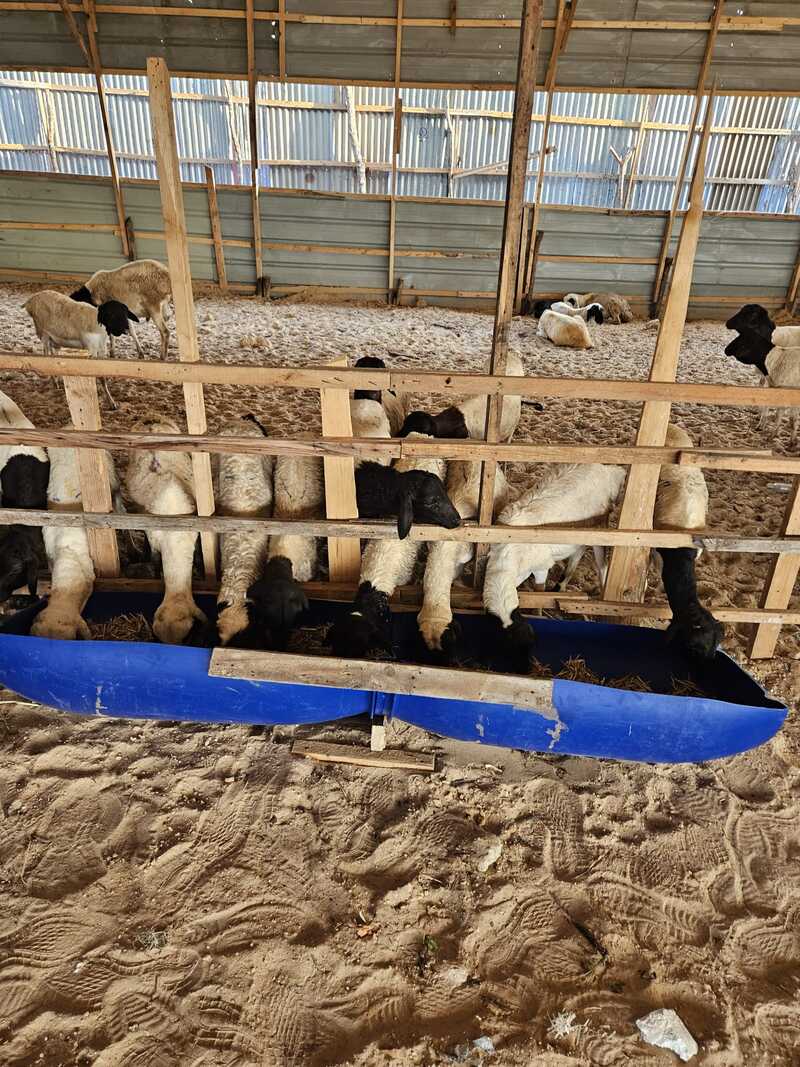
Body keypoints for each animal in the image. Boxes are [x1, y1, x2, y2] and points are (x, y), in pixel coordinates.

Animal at [483, 464, 626, 670]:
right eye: (506, 648)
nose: (526, 669)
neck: (506, 559)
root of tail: (609, 470)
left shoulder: (541, 568)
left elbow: (538, 595)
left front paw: (539, 613)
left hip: (600, 528)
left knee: (601, 565)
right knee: (576, 557)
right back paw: (561, 586)